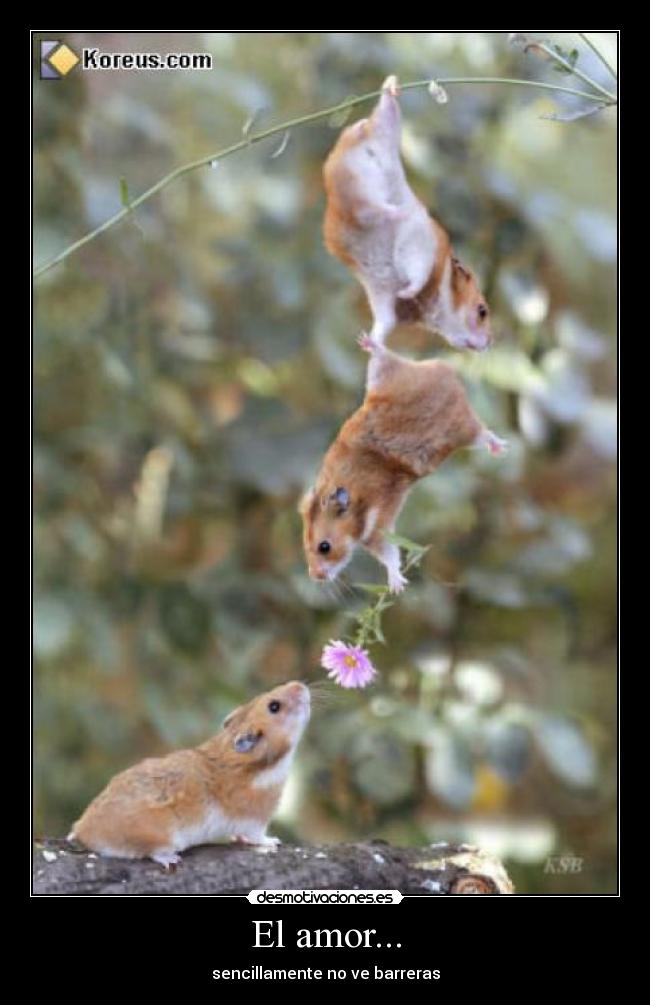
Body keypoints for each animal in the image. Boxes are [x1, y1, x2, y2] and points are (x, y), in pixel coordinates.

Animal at [68, 683, 309, 872]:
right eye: (274, 706)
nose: (300, 685)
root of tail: (83, 830)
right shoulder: (255, 820)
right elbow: (259, 837)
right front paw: (274, 842)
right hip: (161, 835)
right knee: (151, 852)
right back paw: (172, 859)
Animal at [301, 333, 508, 590]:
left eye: (324, 547)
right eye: (305, 545)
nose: (315, 576)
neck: (357, 504)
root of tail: (447, 373)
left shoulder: (378, 528)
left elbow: (390, 555)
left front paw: (397, 586)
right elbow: (389, 555)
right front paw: (398, 586)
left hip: (462, 428)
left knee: (484, 433)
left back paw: (501, 448)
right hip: (385, 377)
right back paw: (368, 342)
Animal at [323, 74, 490, 351]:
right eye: (482, 311)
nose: (490, 343)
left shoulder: (381, 294)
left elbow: (384, 324)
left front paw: (365, 341)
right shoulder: (419, 250)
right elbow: (416, 276)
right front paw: (407, 292)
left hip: (383, 134)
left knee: (384, 111)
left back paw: (390, 87)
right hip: (372, 174)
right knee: (382, 209)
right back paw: (401, 210)